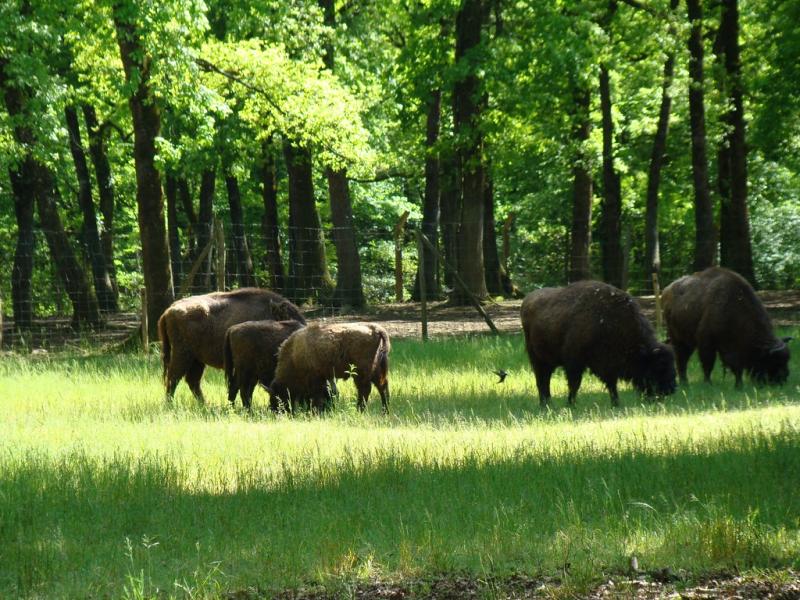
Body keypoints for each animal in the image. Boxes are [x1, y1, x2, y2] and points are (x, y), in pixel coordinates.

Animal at [158, 288, 305, 403]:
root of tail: (169, 310)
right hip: (182, 355)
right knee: (173, 378)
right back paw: (170, 404)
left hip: (197, 360)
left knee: (192, 381)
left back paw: (205, 404)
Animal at [521, 281, 676, 407]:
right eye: (659, 365)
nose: (672, 389)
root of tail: (527, 300)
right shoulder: (575, 363)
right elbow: (574, 384)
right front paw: (571, 404)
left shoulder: (609, 364)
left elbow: (611, 384)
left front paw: (616, 403)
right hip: (537, 359)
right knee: (542, 380)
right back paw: (545, 404)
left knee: (544, 380)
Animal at [662, 267, 791, 387]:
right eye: (774, 361)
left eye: (787, 360)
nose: (783, 380)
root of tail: (667, 290)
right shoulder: (708, 343)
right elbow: (708, 363)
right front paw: (708, 383)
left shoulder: (731, 348)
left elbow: (736, 366)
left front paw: (739, 385)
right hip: (678, 339)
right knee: (681, 359)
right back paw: (684, 382)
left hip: (688, 341)